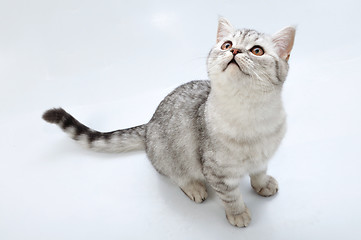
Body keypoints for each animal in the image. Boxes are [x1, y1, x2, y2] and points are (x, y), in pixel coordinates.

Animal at [43, 17, 296, 228]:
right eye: (226, 45)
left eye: (257, 51)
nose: (234, 50)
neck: (250, 114)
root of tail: (149, 125)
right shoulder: (217, 171)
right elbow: (231, 196)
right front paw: (238, 213)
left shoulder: (263, 155)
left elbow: (259, 171)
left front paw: (262, 184)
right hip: (170, 156)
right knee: (175, 173)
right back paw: (193, 187)